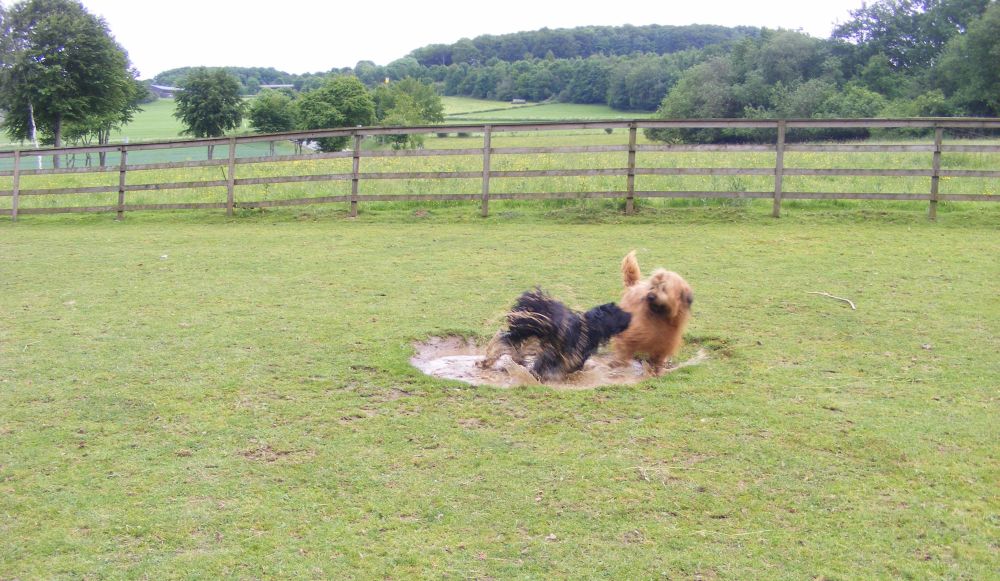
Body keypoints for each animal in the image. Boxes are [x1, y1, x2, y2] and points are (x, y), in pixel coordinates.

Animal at [479, 289, 632, 381]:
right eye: (619, 312)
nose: (630, 315)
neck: (590, 326)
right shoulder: (568, 356)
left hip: (522, 332)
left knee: (505, 339)